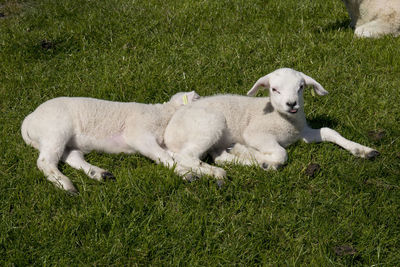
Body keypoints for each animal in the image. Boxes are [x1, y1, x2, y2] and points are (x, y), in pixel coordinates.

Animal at [20, 91, 200, 194]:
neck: (163, 115)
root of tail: (29, 119)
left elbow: (171, 154)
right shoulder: (139, 135)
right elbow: (162, 156)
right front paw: (187, 174)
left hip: (68, 141)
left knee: (72, 157)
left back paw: (100, 174)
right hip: (55, 130)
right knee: (45, 162)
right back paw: (66, 186)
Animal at [162, 68, 378, 185]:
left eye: (301, 87)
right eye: (274, 89)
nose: (292, 104)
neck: (284, 120)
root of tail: (168, 134)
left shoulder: (302, 132)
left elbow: (329, 131)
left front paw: (363, 150)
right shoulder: (255, 133)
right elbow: (282, 153)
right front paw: (268, 162)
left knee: (218, 156)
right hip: (210, 124)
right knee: (186, 156)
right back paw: (217, 172)